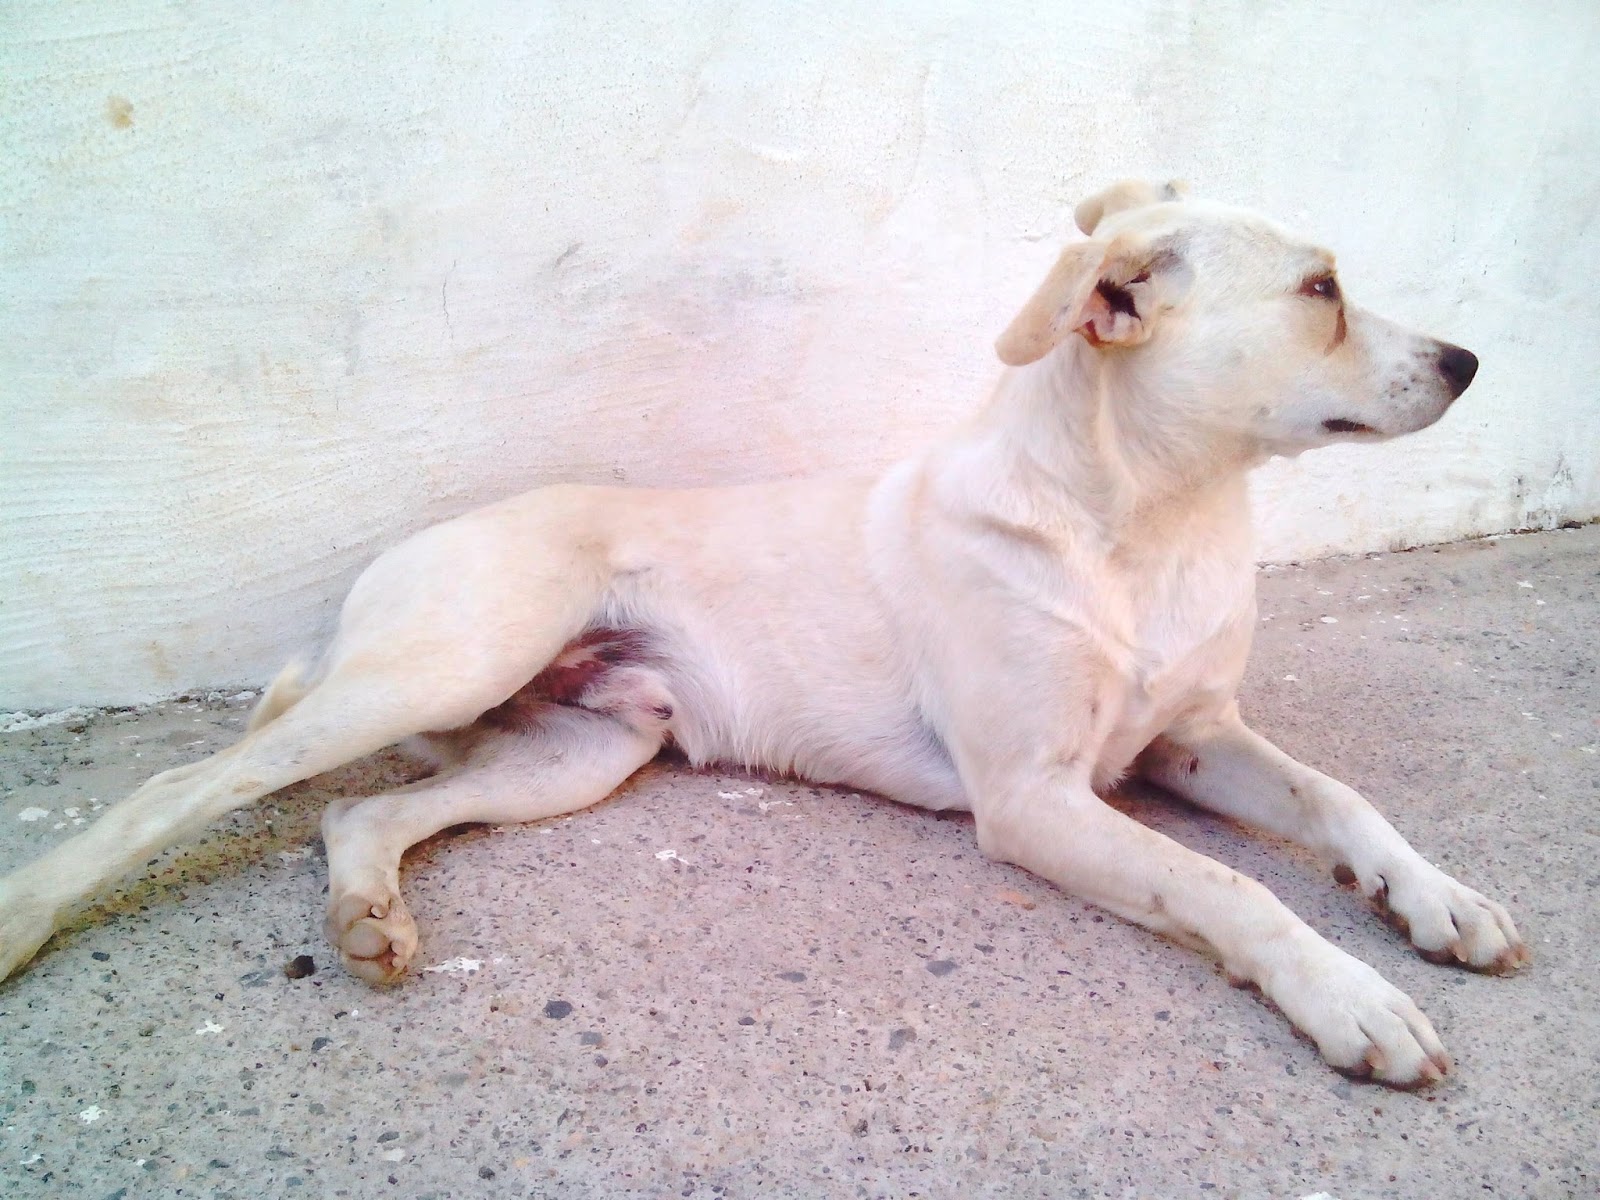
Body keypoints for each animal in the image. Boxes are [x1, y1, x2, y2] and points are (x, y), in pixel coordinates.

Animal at [0, 180, 1527, 1088]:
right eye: (1321, 289)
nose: (1469, 362)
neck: (1148, 523)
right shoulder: (1036, 799)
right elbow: (1231, 890)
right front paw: (1347, 995)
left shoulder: (1192, 742)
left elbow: (1341, 801)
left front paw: (1434, 900)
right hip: (438, 663)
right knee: (186, 783)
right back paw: (30, 913)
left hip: (581, 753)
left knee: (355, 815)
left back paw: (367, 915)